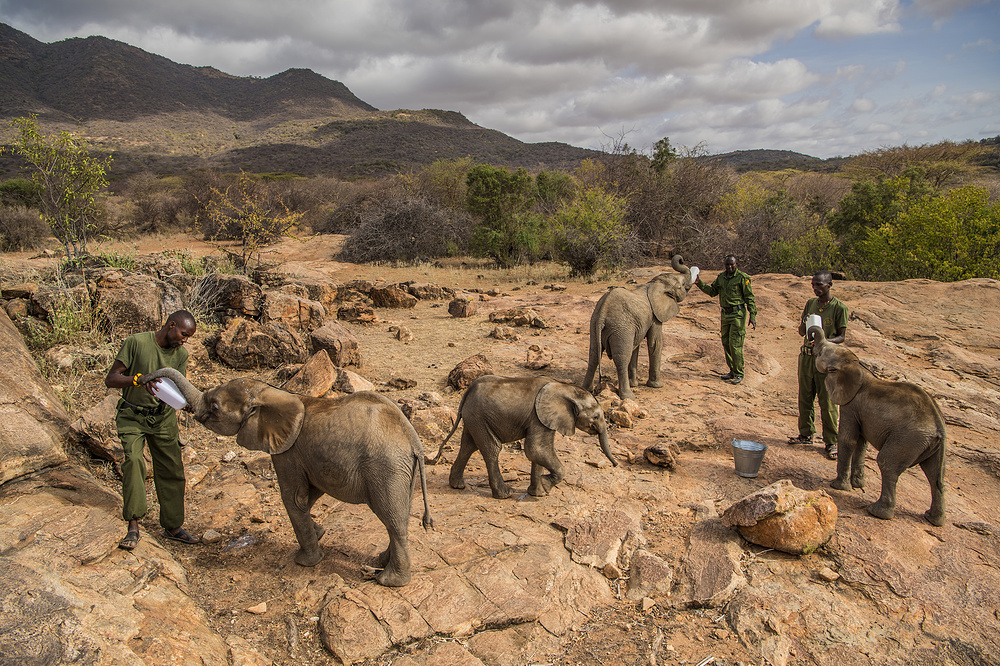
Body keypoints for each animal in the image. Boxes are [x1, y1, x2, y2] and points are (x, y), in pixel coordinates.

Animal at [140, 366, 430, 584]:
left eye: (214, 407)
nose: (147, 382)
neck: (271, 393)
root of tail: (413, 440)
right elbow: (309, 495)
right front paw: (320, 532)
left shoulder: (286, 451)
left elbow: (294, 498)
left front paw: (304, 562)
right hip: (403, 472)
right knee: (400, 516)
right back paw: (380, 562)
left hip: (386, 468)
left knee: (392, 519)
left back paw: (389, 581)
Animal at [430, 374, 616, 498]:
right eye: (596, 417)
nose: (615, 465)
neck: (565, 387)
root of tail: (468, 391)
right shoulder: (539, 417)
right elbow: (535, 449)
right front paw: (546, 486)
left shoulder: (543, 419)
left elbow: (537, 452)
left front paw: (538, 493)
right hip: (479, 417)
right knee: (492, 449)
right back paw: (505, 494)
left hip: (474, 418)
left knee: (468, 446)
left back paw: (457, 486)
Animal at [584, 254, 692, 400]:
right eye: (682, 285)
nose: (681, 259)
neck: (654, 284)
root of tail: (602, 313)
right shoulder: (655, 316)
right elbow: (655, 344)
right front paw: (657, 386)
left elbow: (636, 347)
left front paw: (634, 384)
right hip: (621, 329)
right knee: (622, 359)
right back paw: (628, 396)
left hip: (595, 324)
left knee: (594, 354)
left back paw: (586, 389)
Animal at [808, 326, 948, 524]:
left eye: (820, 353)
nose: (810, 339)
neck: (858, 365)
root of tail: (939, 426)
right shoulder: (861, 411)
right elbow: (861, 443)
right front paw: (857, 484)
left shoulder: (851, 404)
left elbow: (848, 439)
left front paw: (837, 486)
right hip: (931, 445)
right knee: (936, 475)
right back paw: (932, 519)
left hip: (909, 438)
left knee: (887, 462)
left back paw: (877, 512)